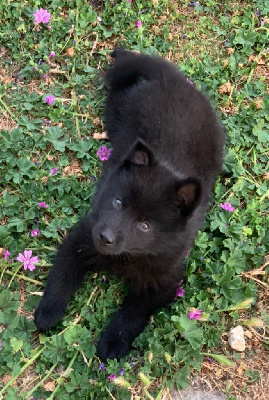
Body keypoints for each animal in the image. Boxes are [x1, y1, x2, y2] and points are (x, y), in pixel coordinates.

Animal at [34, 47, 223, 360]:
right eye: (118, 201)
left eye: (145, 225)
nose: (105, 237)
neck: (127, 256)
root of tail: (173, 81)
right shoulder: (83, 234)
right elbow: (62, 274)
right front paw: (47, 312)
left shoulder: (166, 277)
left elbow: (134, 311)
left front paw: (113, 341)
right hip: (118, 110)